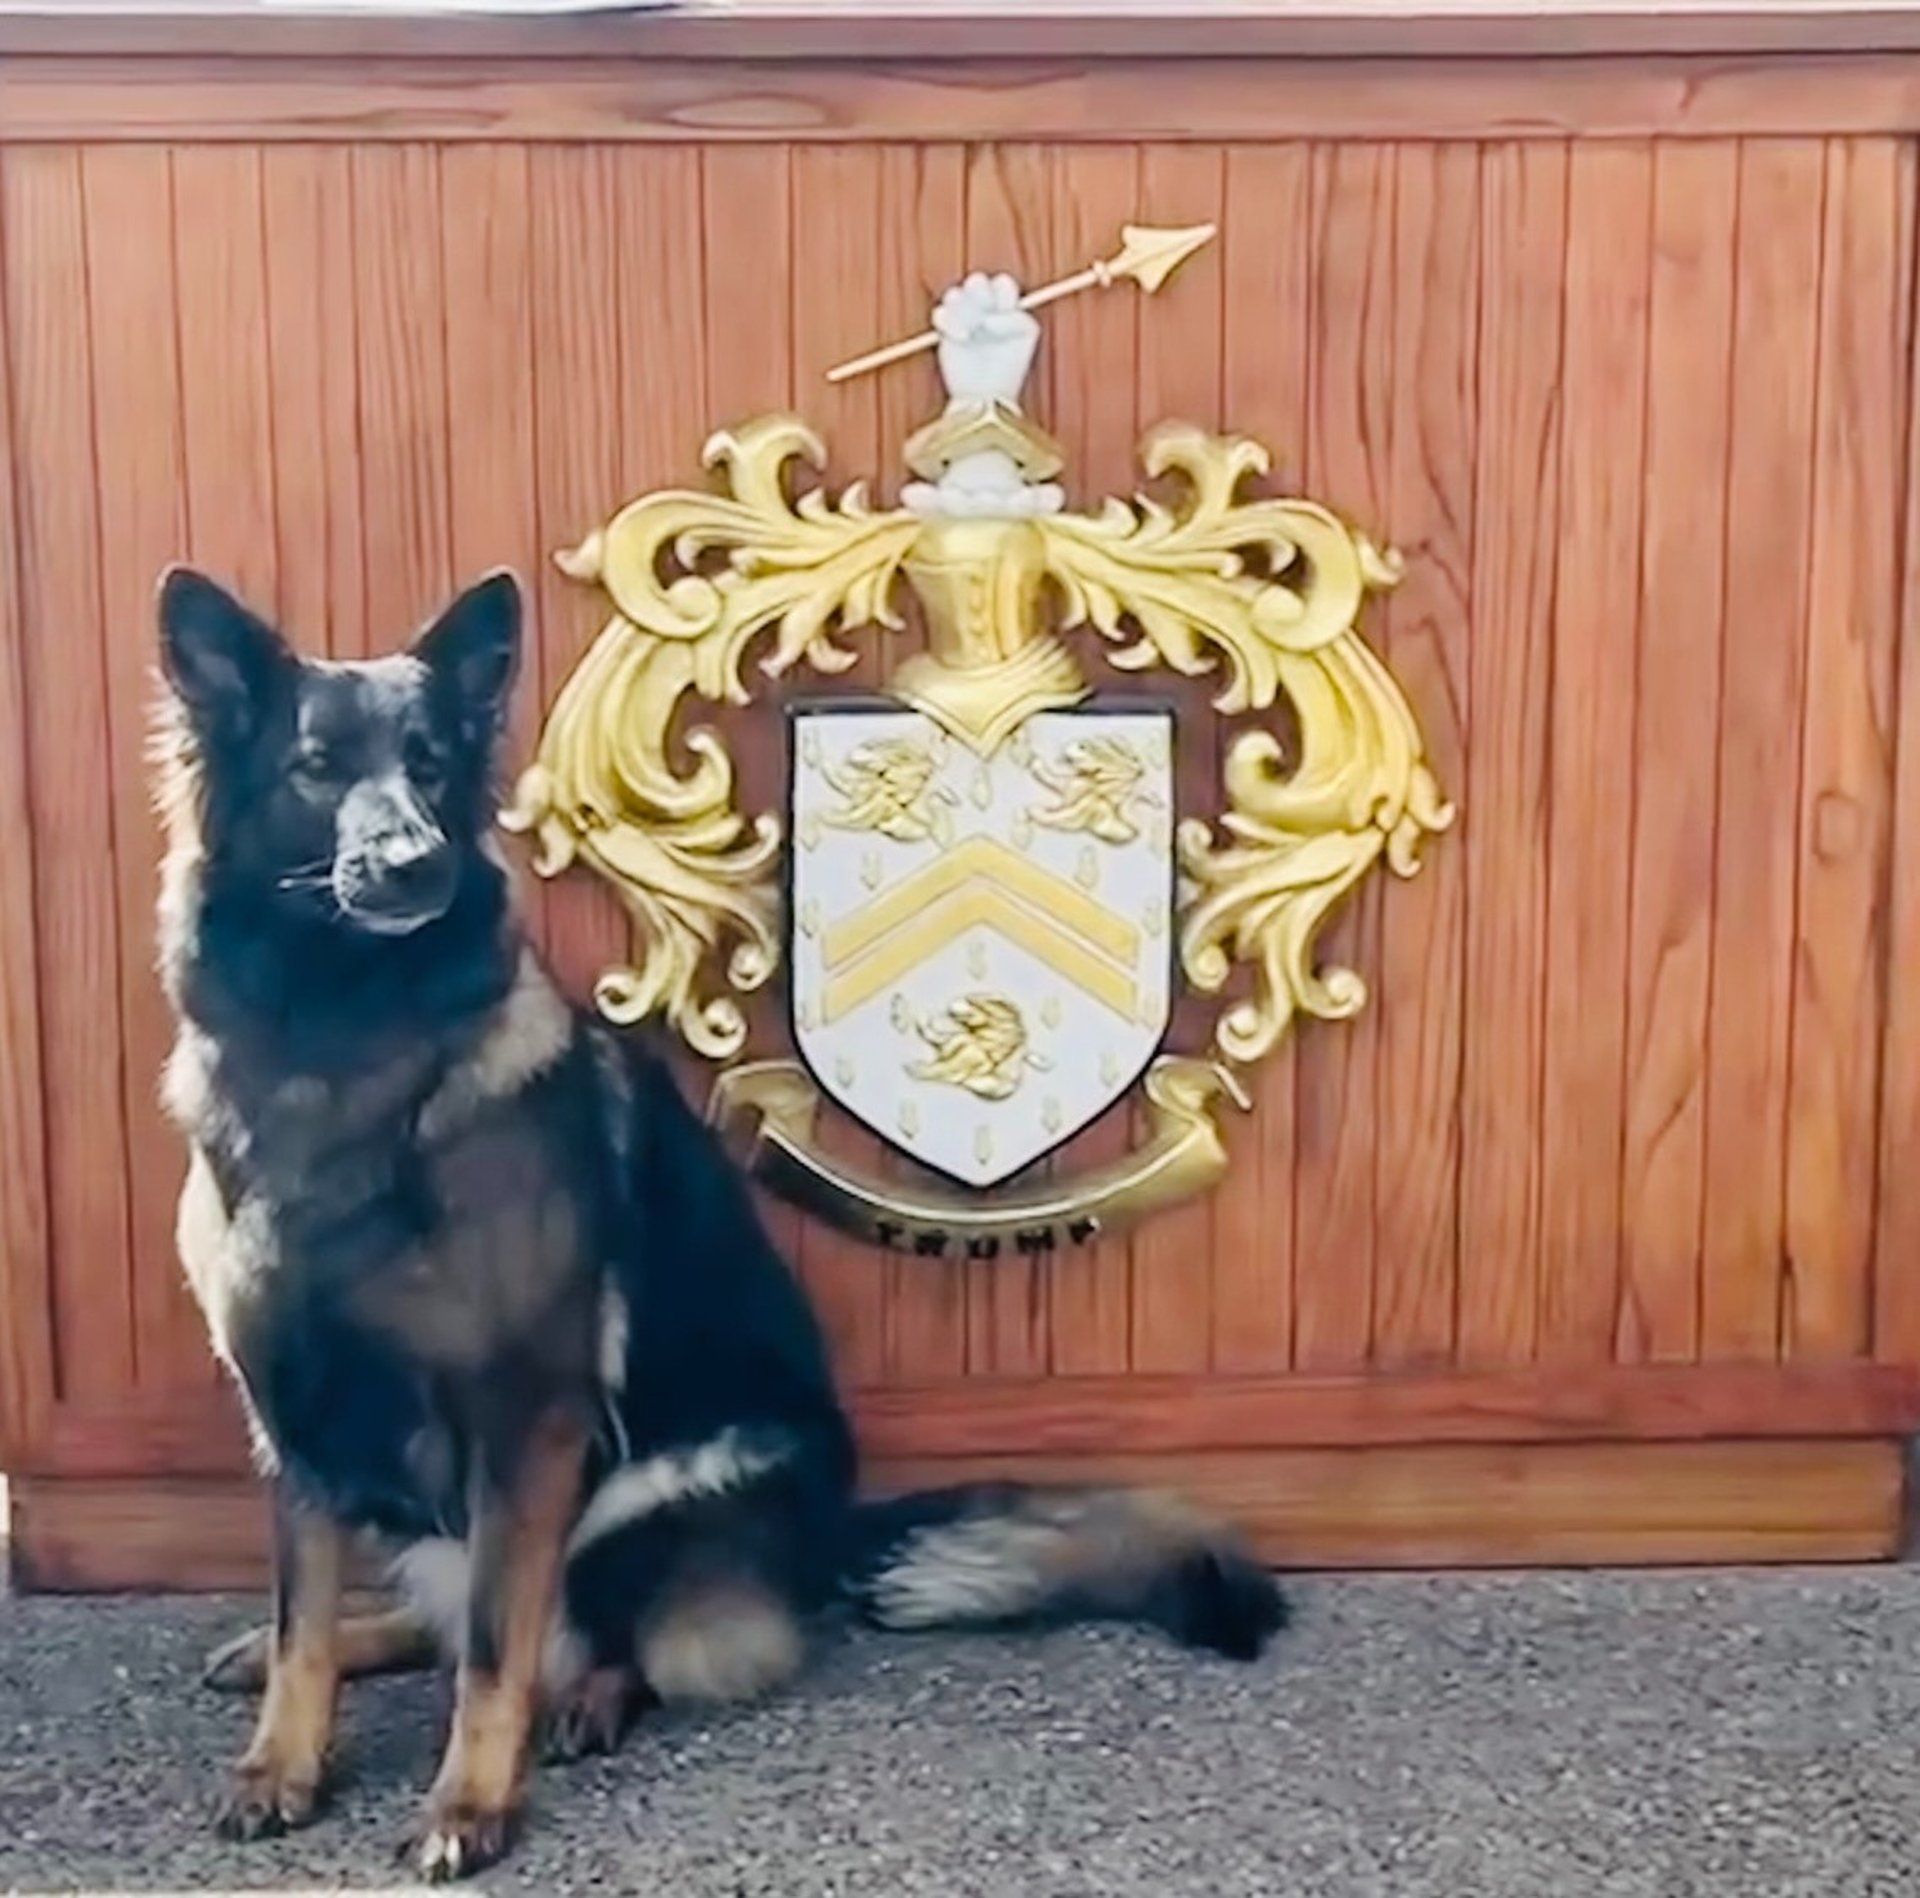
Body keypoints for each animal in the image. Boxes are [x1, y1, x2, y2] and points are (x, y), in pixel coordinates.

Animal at [152, 565, 1287, 1882]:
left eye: (429, 765)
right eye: (318, 767)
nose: (413, 863)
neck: (343, 1044)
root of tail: (828, 1534)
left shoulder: (528, 1410)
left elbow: (494, 1641)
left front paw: (469, 1801)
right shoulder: (292, 1416)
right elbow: (306, 1620)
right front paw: (283, 1760)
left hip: (639, 1496)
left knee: (593, 1634)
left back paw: (588, 1698)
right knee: (446, 1605)